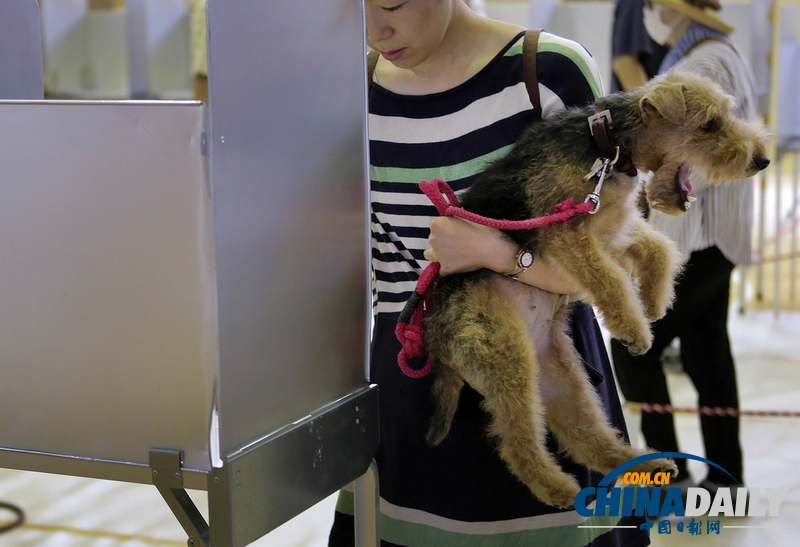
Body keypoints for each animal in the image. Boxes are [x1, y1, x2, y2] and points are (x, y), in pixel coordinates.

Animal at [424, 69, 768, 510]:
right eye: (709, 124)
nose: (761, 160)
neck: (610, 145)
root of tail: (434, 336)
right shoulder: (568, 233)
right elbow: (612, 278)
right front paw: (635, 330)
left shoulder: (609, 227)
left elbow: (658, 248)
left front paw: (653, 302)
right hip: (506, 356)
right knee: (519, 444)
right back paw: (559, 489)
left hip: (558, 372)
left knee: (586, 435)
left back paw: (643, 464)